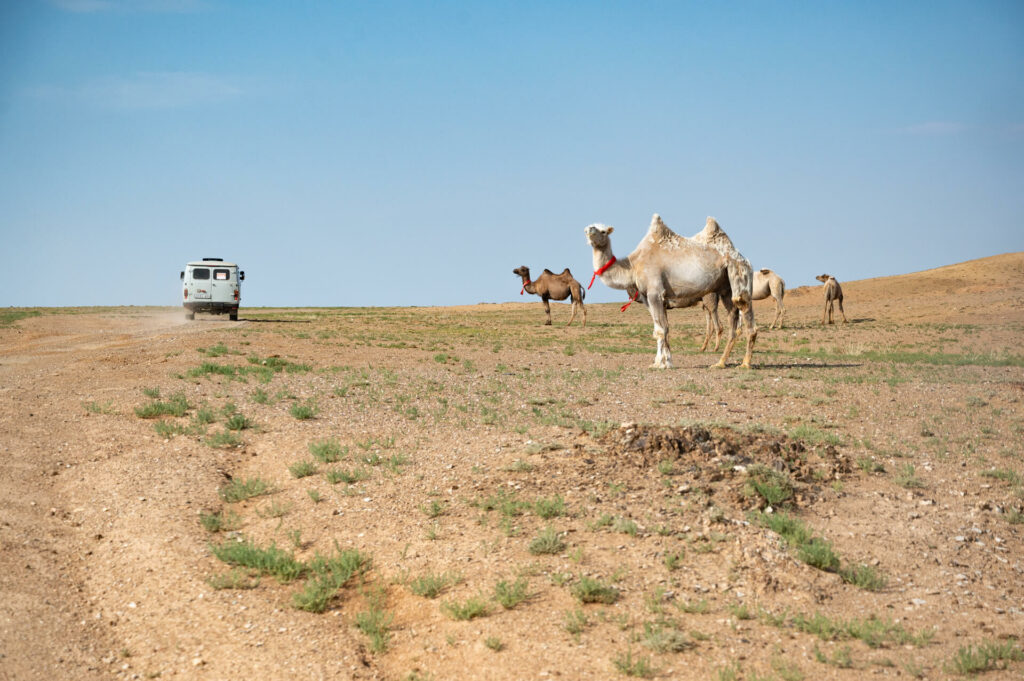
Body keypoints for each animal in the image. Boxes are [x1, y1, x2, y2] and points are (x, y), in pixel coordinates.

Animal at [581, 215, 757, 368]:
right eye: (590, 227)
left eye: (603, 231)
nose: (589, 230)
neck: (633, 266)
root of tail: (742, 257)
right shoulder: (647, 297)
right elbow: (661, 329)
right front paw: (663, 361)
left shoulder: (655, 292)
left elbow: (660, 330)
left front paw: (662, 364)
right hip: (725, 287)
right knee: (733, 321)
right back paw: (719, 363)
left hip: (739, 273)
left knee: (744, 310)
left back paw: (745, 364)